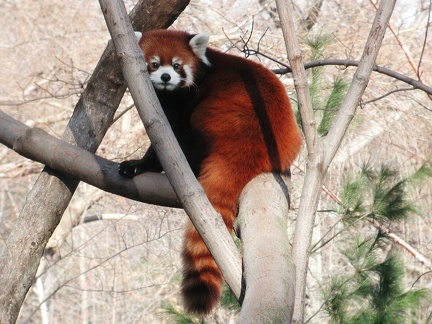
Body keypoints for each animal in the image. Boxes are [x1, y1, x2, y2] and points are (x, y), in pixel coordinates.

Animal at [116, 29, 302, 314]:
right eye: (155, 64)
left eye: (177, 65)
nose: (166, 78)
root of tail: (251, 146)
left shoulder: (184, 102)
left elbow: (172, 133)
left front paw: (141, 164)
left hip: (217, 116)